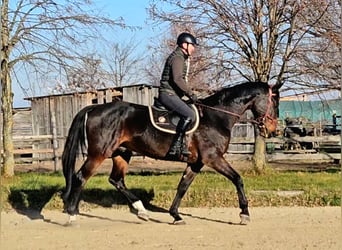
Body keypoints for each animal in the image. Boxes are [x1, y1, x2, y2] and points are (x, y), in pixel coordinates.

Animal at [62, 81, 280, 225]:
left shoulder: (196, 162)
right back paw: (72, 214)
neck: (216, 116)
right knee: (81, 177)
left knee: (116, 180)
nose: (273, 130)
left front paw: (175, 214)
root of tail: (94, 107)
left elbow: (182, 187)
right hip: (99, 153)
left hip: (121, 153)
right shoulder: (213, 158)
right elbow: (237, 179)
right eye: (275, 103)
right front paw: (244, 214)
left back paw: (141, 211)